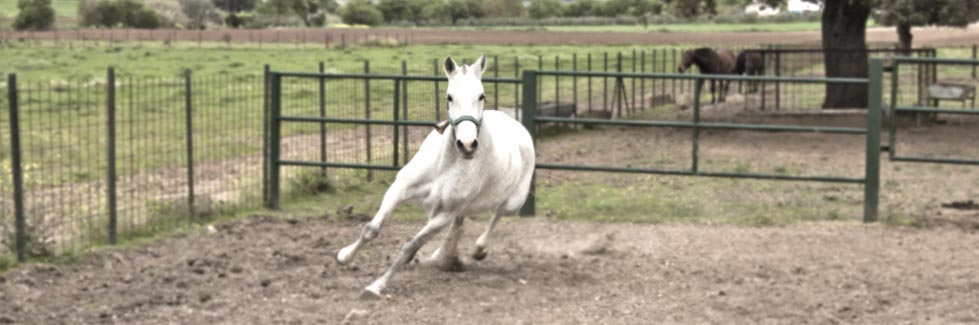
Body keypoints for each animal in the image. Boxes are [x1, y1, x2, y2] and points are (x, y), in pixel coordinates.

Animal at [334, 53, 536, 298]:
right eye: (449, 97)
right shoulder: (399, 189)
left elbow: (409, 247)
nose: (467, 145)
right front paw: (344, 256)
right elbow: (371, 230)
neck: (445, 166)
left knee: (496, 215)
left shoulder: (443, 215)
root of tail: (516, 124)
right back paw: (442, 257)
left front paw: (375, 286)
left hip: (512, 203)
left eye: (481, 96)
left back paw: (478, 249)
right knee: (460, 223)